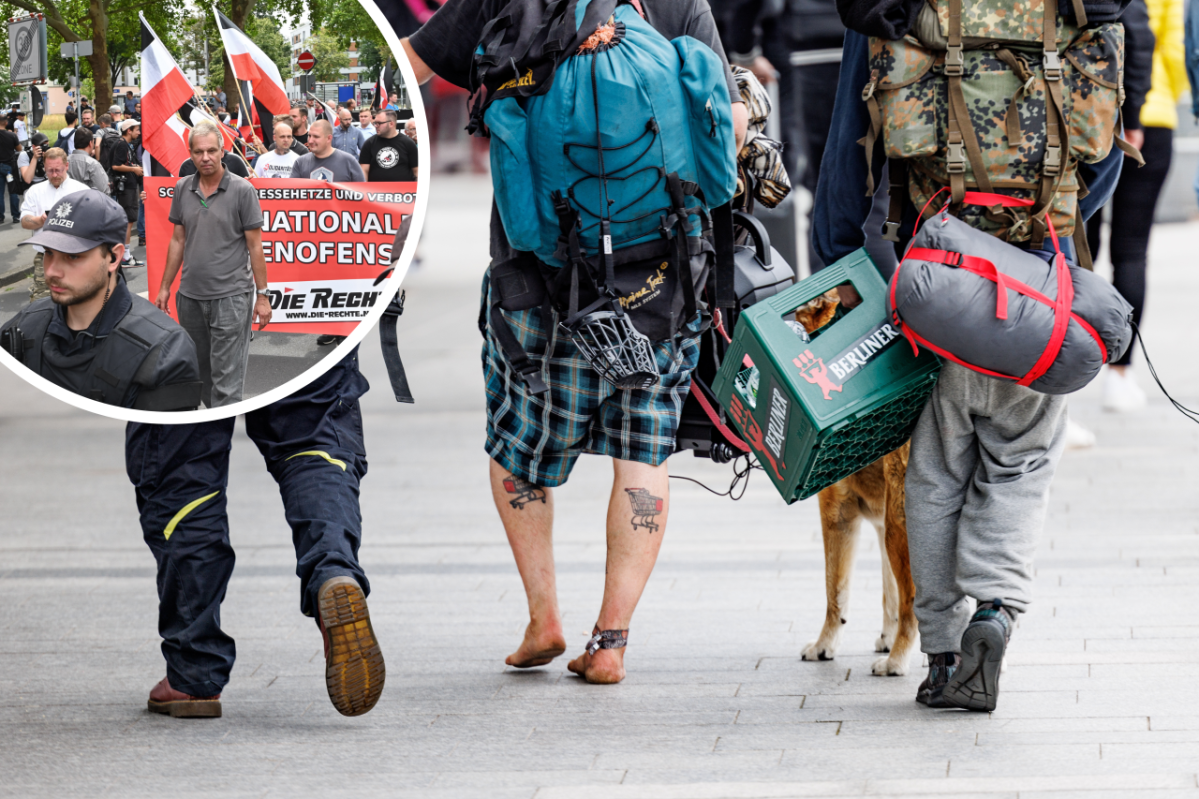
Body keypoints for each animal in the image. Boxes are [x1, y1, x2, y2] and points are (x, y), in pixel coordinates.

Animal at [796, 287, 916, 671]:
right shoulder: (879, 525)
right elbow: (888, 593)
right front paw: (886, 637)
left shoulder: (838, 513)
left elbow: (835, 591)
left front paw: (824, 645)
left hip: (900, 525)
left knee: (913, 602)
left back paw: (897, 661)